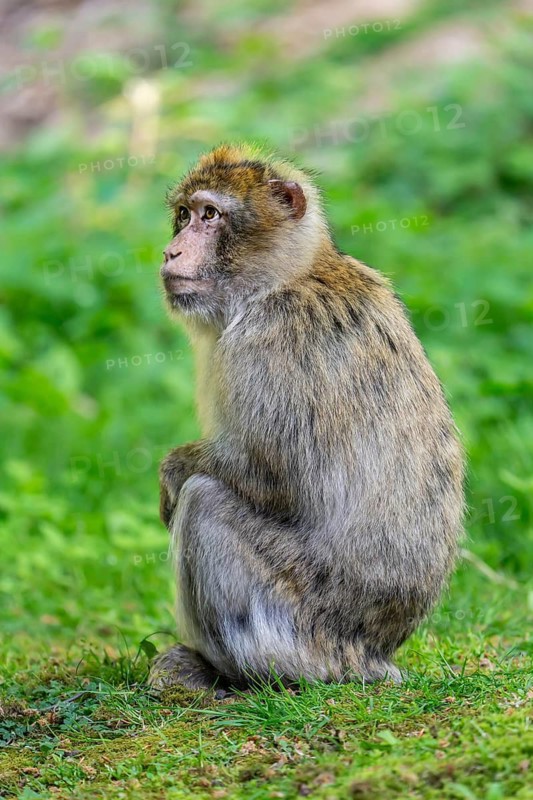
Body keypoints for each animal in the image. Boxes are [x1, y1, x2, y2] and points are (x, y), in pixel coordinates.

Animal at [149, 143, 464, 692]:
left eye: (211, 215)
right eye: (184, 215)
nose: (171, 252)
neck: (283, 278)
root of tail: (375, 654)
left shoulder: (270, 342)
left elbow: (278, 479)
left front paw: (175, 469)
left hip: (299, 619)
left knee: (205, 501)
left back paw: (232, 673)